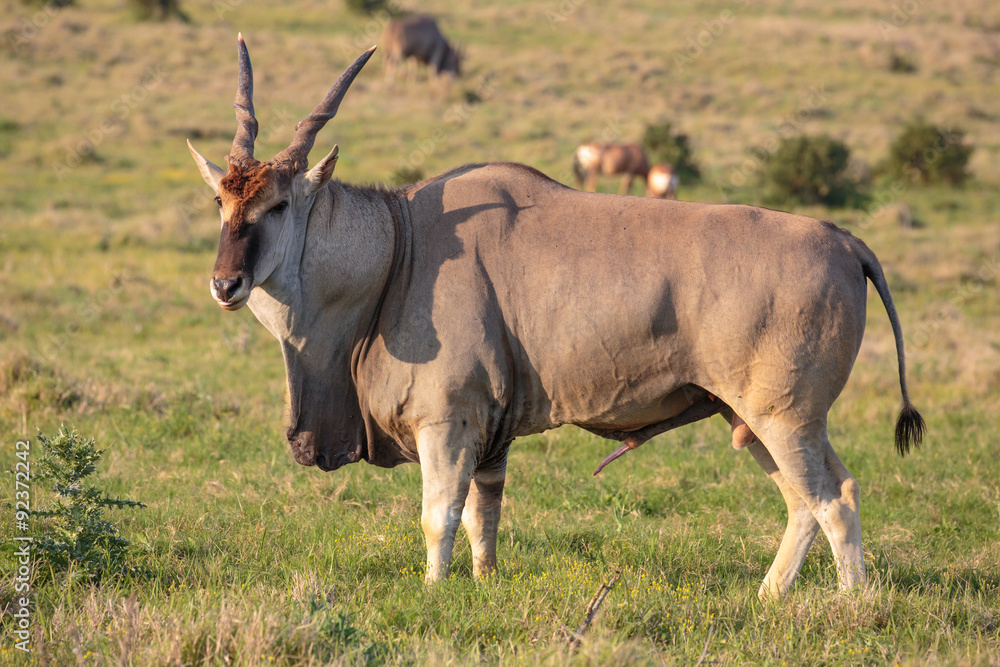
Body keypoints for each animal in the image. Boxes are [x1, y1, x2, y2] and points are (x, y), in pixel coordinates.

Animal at [188, 36, 924, 599]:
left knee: (828, 499)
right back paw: (773, 596)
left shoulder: (445, 422)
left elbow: (438, 517)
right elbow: (483, 517)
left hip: (783, 419)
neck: (400, 246)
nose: (225, 283)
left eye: (280, 203)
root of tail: (844, 241)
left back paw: (849, 606)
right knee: (823, 495)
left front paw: (434, 592)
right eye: (221, 202)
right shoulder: (489, 436)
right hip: (758, 420)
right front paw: (483, 584)